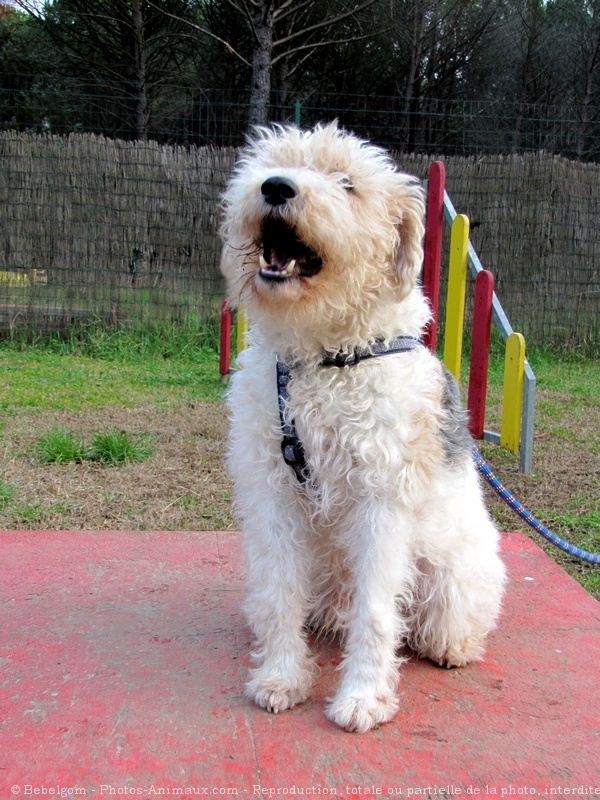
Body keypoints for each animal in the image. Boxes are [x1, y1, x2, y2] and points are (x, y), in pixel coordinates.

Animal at [218, 122, 504, 736]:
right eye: (270, 162)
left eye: (347, 183)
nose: (275, 188)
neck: (323, 359)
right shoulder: (273, 491)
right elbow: (279, 593)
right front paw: (281, 677)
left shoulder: (382, 500)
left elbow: (374, 612)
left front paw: (363, 698)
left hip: (452, 575)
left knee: (438, 620)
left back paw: (451, 647)